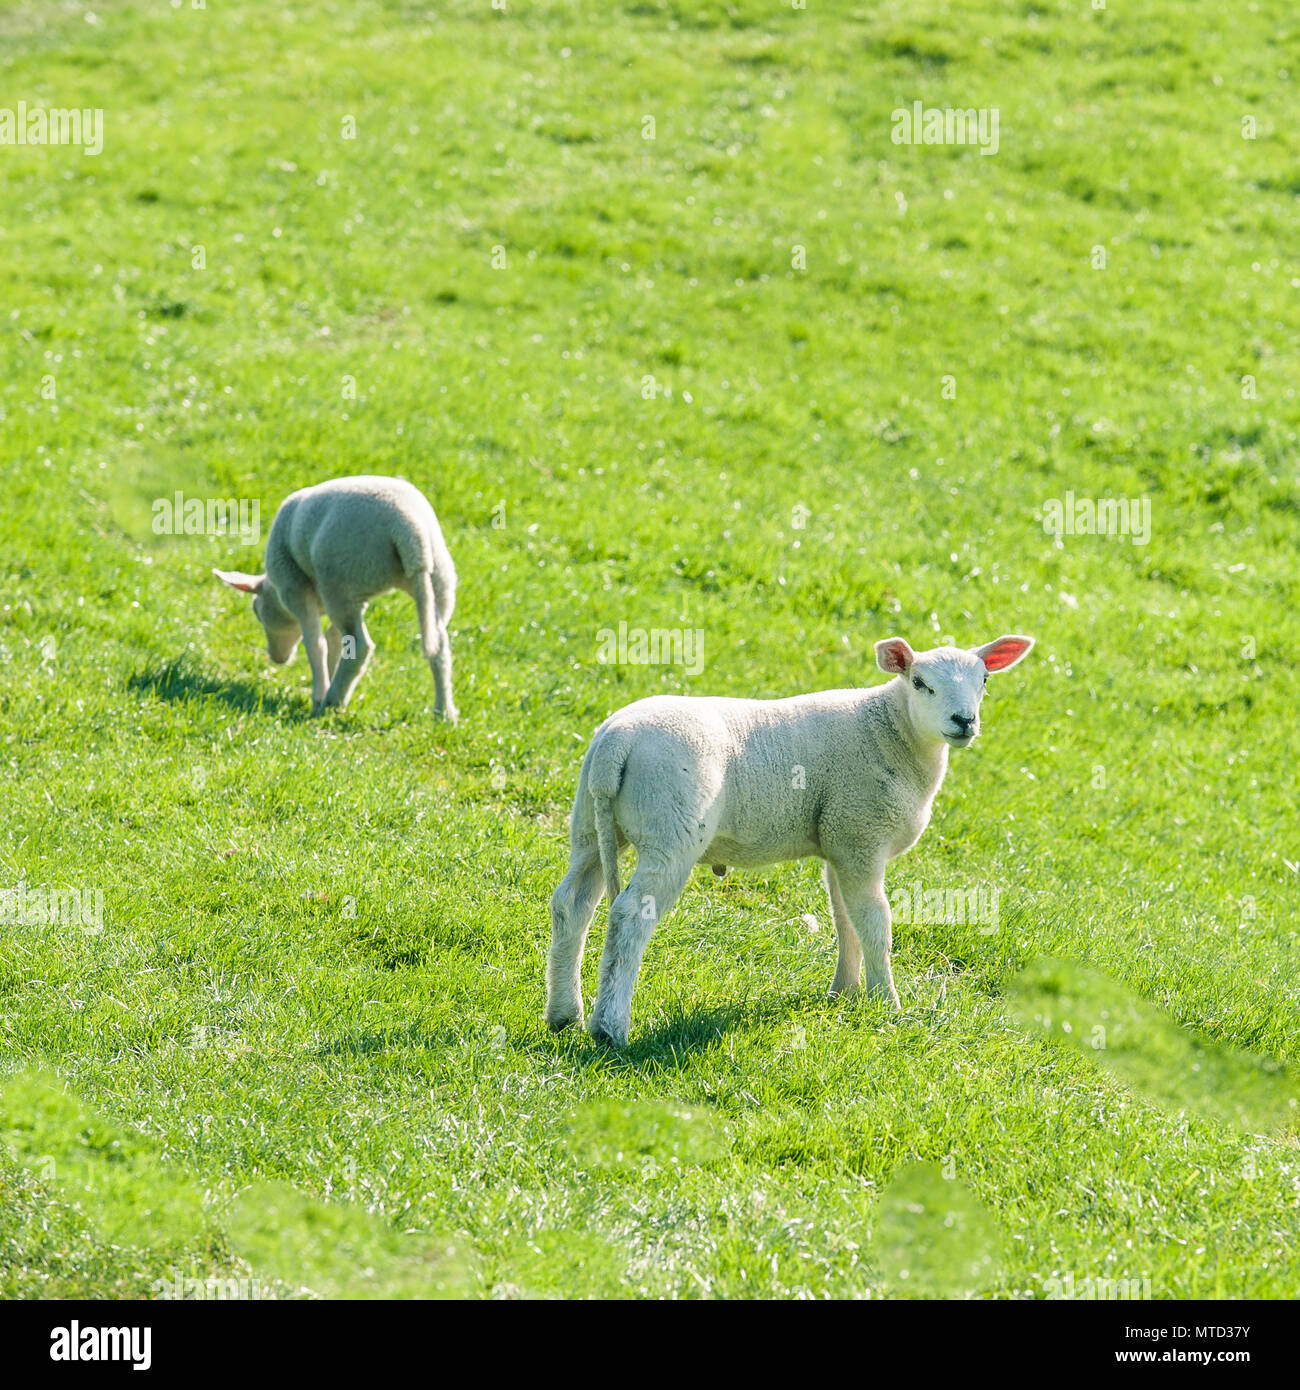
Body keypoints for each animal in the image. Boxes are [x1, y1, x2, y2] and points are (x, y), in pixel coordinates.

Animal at [214, 472, 458, 722]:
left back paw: (332, 702)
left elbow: (316, 643)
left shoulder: (294, 586)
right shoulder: (355, 597)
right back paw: (444, 712)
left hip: (340, 577)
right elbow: (334, 639)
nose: (276, 658)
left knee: (360, 646)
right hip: (435, 580)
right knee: (440, 646)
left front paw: (319, 695)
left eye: (258, 612)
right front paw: (331, 678)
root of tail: (410, 528)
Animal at [547, 631, 1034, 1045]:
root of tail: (617, 742)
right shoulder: (862, 834)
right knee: (631, 914)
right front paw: (887, 1004)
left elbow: (845, 919)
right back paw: (610, 1029)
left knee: (572, 902)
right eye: (920, 683)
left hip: (591, 823)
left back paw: (564, 1014)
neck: (892, 731)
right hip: (670, 832)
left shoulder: (840, 840)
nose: (964, 721)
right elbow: (875, 922)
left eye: (984, 680)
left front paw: (844, 994)